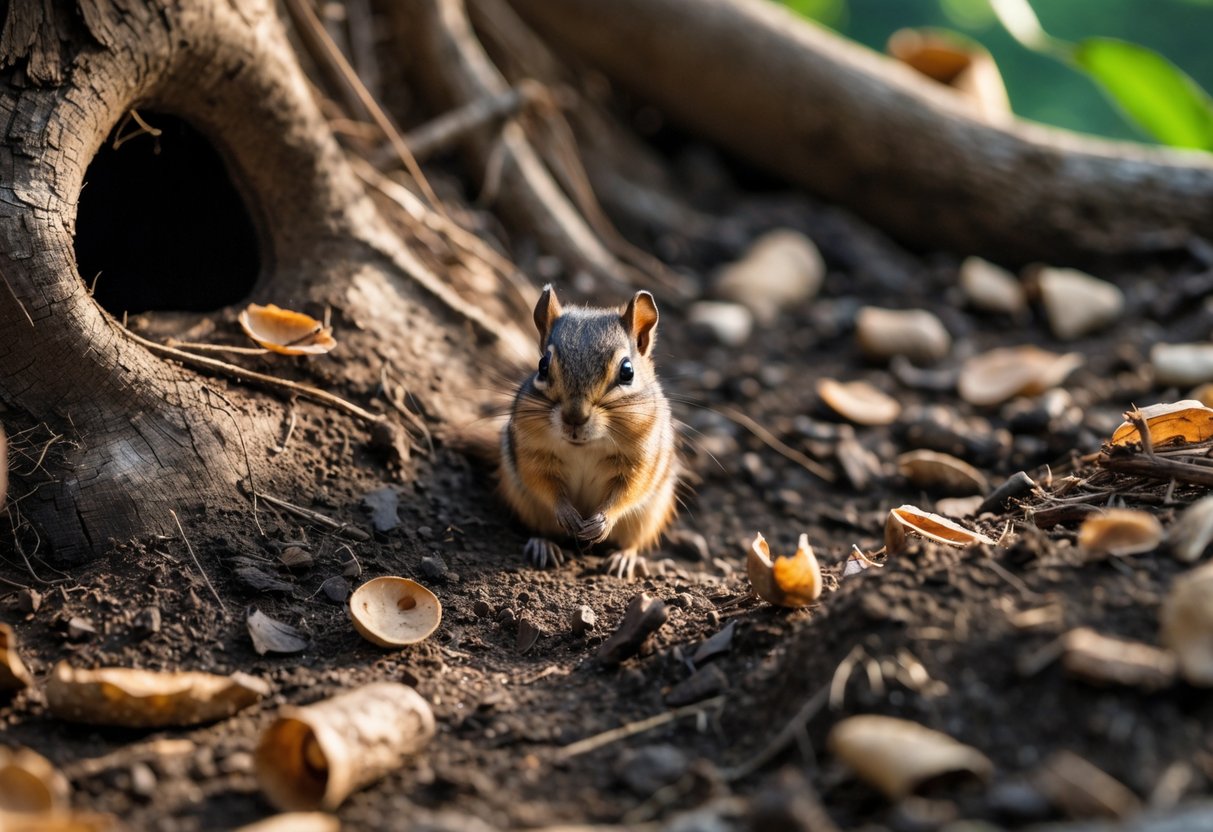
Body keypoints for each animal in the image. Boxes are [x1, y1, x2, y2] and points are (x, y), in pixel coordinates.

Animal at [499, 285, 680, 579]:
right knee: (540, 527)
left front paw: (601, 521)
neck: (584, 447)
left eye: (627, 371)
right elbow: (541, 481)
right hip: (525, 503)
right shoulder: (532, 452)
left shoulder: (639, 461)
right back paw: (543, 545)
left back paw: (623, 559)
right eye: (542, 366)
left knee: (632, 542)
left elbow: (628, 491)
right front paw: (567, 514)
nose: (575, 417)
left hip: (648, 517)